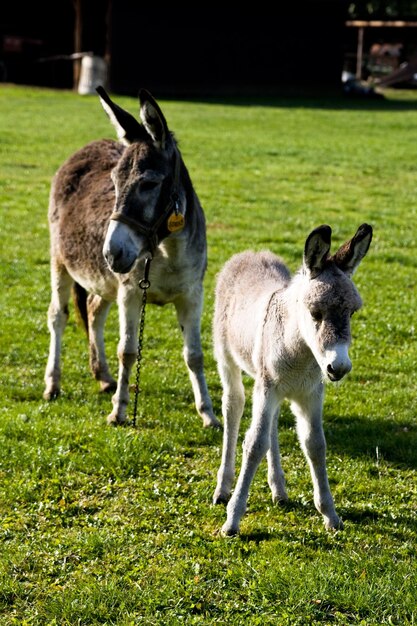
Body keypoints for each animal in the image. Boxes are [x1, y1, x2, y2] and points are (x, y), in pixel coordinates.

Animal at [213, 222, 372, 532]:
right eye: (315, 313)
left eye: (352, 312)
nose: (339, 367)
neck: (300, 355)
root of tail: (250, 253)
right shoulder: (267, 388)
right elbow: (254, 444)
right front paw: (233, 519)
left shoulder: (310, 393)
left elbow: (315, 444)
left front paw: (330, 515)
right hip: (227, 358)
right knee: (233, 406)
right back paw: (223, 489)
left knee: (272, 425)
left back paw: (279, 490)